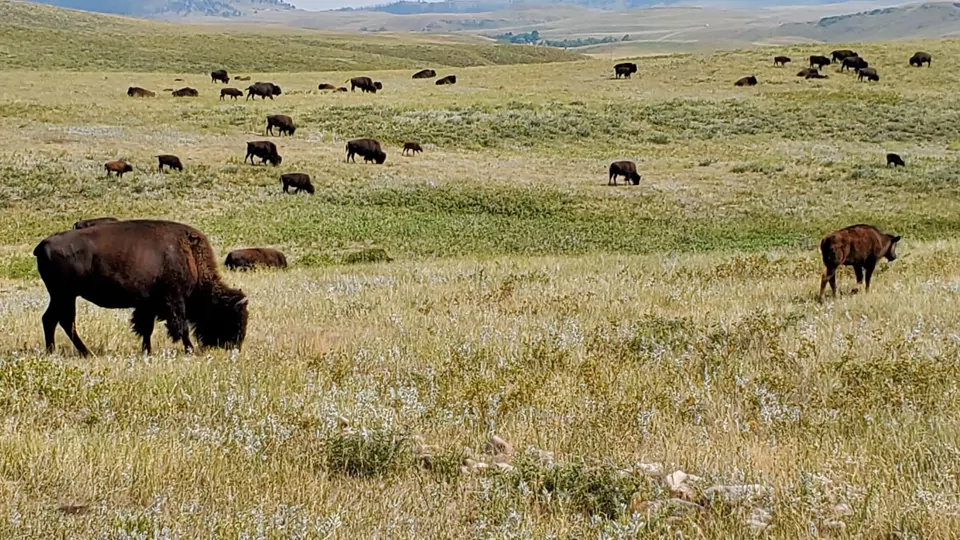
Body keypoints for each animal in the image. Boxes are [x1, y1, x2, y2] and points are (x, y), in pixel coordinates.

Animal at [34, 219, 249, 355]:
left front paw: (147, 351)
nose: (236, 346)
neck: (189, 254)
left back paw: (57, 351)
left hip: (63, 296)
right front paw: (190, 350)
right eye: (232, 317)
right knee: (62, 321)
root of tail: (43, 244)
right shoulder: (174, 301)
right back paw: (81, 352)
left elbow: (147, 328)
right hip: (64, 295)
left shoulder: (148, 305)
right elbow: (181, 328)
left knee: (52, 319)